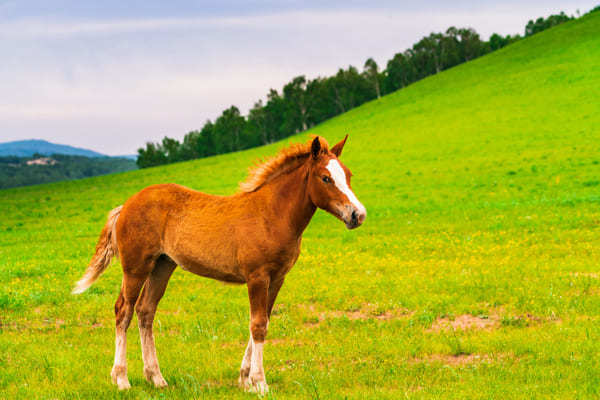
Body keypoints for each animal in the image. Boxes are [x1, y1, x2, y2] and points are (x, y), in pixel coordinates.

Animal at [73, 135, 368, 394]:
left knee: (145, 312)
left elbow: (264, 320)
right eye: (325, 178)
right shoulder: (257, 277)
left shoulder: (277, 278)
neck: (271, 215)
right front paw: (259, 383)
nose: (358, 215)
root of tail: (126, 205)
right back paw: (122, 379)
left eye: (348, 175)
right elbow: (258, 325)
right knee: (123, 311)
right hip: (135, 268)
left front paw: (245, 380)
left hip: (162, 266)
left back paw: (156, 378)